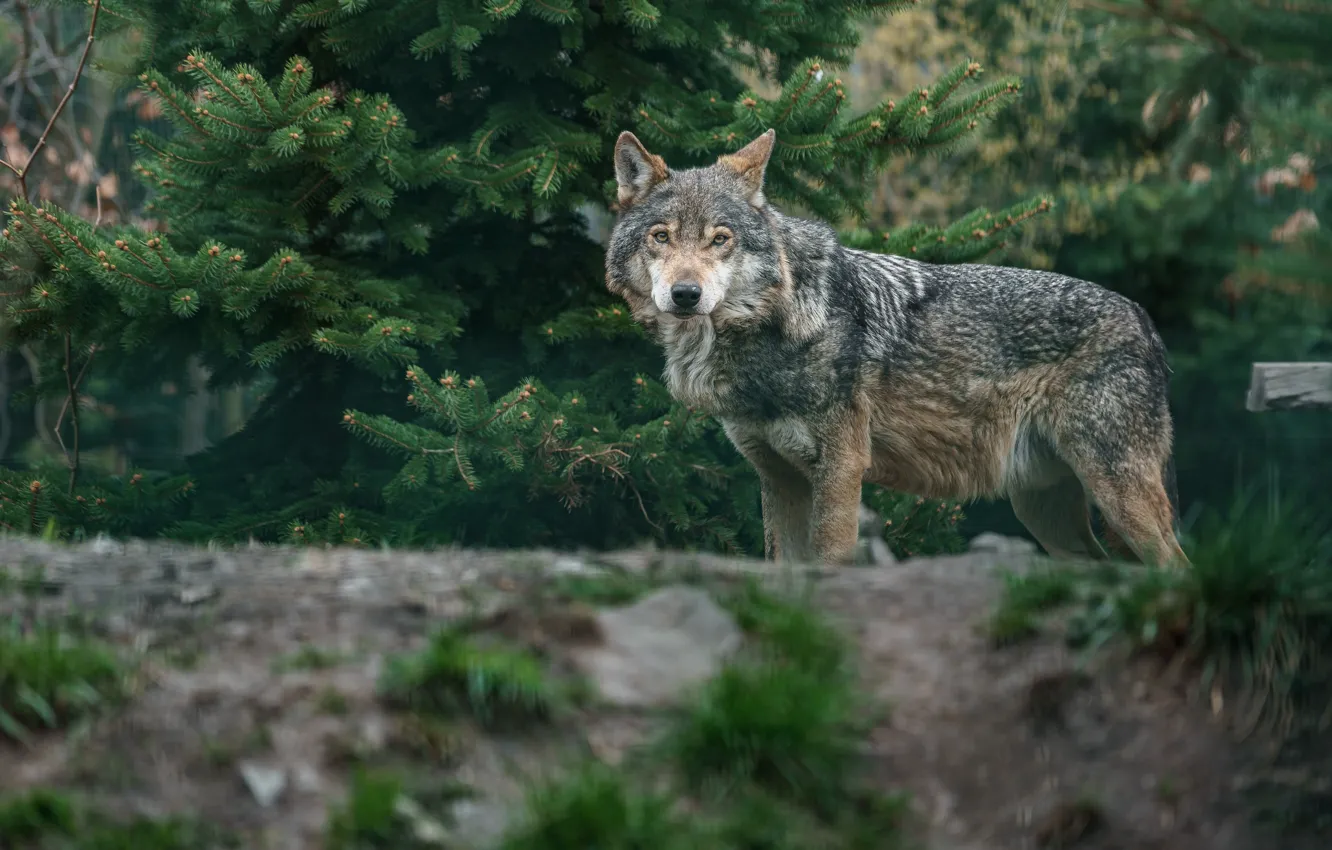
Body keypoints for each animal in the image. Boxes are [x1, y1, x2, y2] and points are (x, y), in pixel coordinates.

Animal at [604, 129, 1188, 570]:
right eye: (661, 237)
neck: (778, 326)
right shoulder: (778, 477)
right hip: (1045, 511)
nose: (685, 294)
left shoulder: (841, 467)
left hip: (1117, 494)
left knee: (1176, 566)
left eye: (720, 239)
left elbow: (829, 561)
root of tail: (1144, 319)